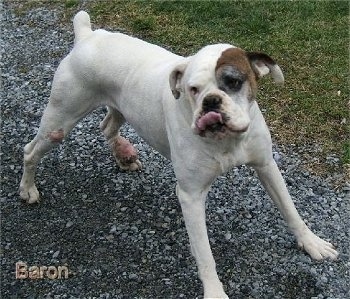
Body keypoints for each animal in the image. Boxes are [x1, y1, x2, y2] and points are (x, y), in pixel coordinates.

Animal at [20, 11, 338, 299]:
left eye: (233, 82)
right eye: (192, 89)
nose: (211, 101)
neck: (226, 142)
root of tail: (88, 35)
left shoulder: (266, 166)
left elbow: (290, 209)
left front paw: (312, 243)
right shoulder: (191, 195)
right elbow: (205, 255)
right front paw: (214, 292)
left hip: (119, 107)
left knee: (107, 125)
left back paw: (123, 154)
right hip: (59, 123)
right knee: (30, 151)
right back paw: (28, 188)